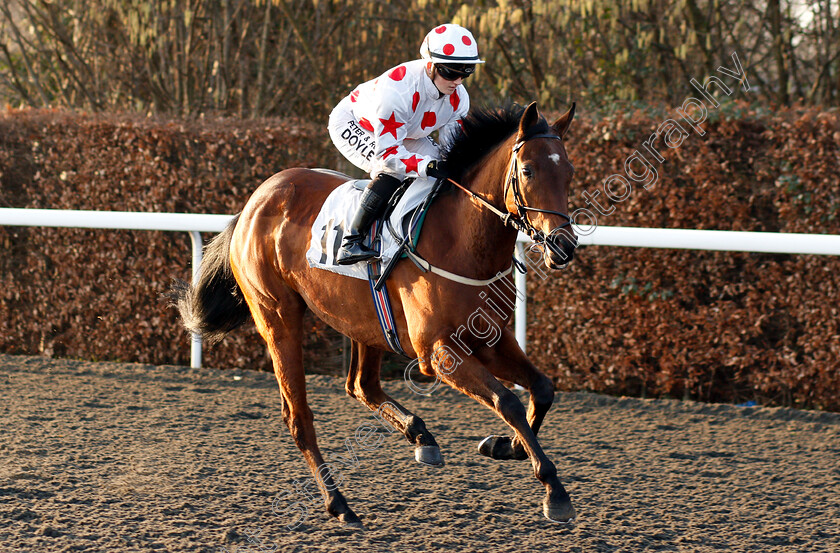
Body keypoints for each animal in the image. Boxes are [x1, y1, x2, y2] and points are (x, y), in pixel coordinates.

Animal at [171, 101, 576, 528]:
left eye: (569, 170)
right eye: (528, 170)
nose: (563, 246)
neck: (460, 242)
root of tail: (253, 202)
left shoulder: (491, 338)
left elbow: (542, 388)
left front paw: (506, 446)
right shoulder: (440, 354)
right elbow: (508, 401)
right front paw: (554, 490)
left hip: (363, 320)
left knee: (361, 385)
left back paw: (420, 437)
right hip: (278, 318)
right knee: (299, 417)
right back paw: (339, 504)